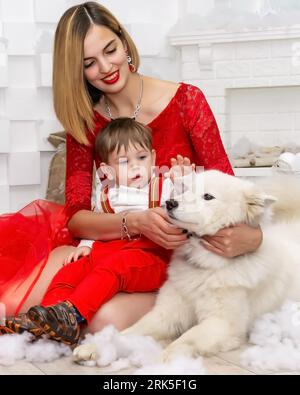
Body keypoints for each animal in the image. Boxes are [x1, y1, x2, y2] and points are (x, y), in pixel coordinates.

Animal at [73, 172, 300, 364]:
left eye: (207, 196)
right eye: (186, 190)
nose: (170, 202)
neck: (204, 267)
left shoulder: (222, 324)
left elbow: (185, 339)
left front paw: (160, 360)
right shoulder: (166, 313)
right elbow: (126, 333)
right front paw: (95, 347)